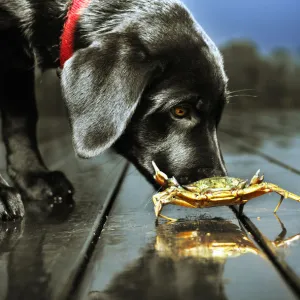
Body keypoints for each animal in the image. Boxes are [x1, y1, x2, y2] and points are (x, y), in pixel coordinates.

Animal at [0, 0, 227, 220]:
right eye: (180, 110)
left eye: (217, 116)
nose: (218, 187)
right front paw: (3, 194)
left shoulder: (16, 62)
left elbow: (21, 120)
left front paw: (34, 177)